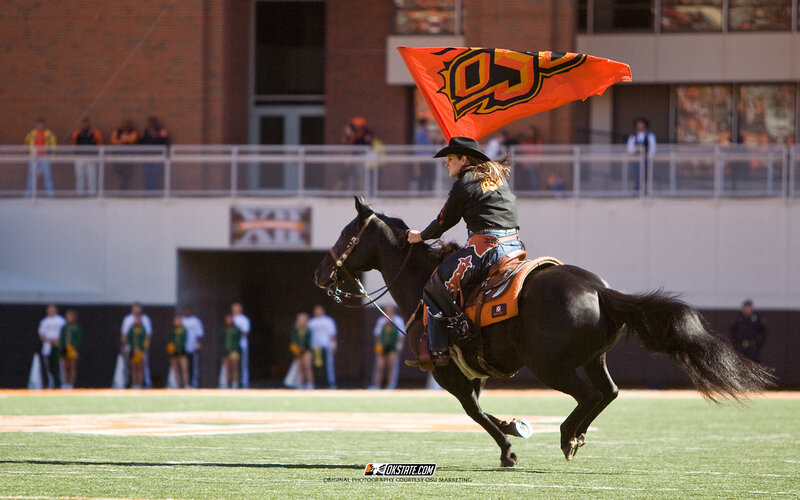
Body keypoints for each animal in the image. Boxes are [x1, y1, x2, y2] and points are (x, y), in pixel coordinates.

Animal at [314, 197, 775, 467]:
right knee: (608, 393)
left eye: (346, 232)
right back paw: (575, 436)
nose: (321, 273)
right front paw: (513, 427)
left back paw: (568, 436)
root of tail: (600, 290)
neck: (419, 284)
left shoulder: (449, 375)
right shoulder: (473, 373)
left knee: (588, 396)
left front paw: (509, 448)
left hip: (550, 367)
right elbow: (482, 411)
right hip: (593, 359)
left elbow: (474, 413)